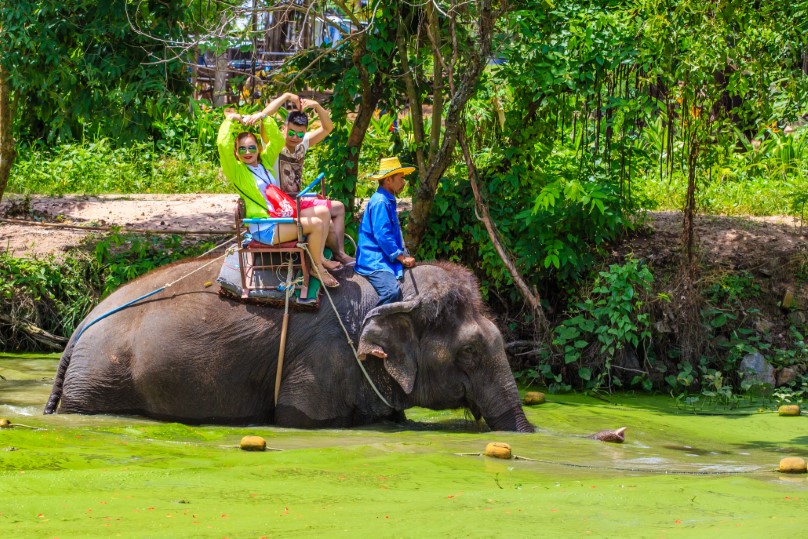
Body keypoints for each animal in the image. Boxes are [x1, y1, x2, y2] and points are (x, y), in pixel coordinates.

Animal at [44, 258, 536, 434]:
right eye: (470, 352)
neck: (393, 293)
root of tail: (79, 327)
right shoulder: (320, 364)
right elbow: (300, 419)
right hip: (99, 383)